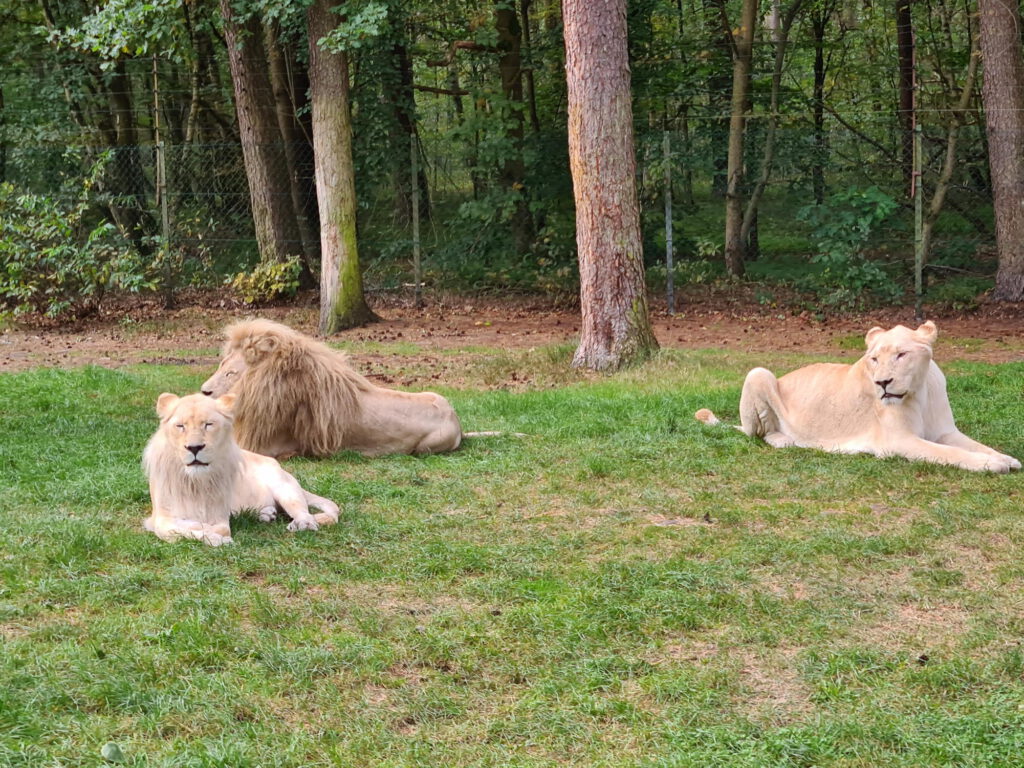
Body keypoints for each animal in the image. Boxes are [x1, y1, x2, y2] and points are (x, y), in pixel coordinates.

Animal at [142, 392, 340, 546]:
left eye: (208, 424)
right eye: (180, 426)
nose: (194, 447)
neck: (195, 481)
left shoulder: (220, 515)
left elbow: (218, 529)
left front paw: (217, 538)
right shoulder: (161, 517)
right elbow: (179, 529)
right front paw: (207, 533)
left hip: (284, 487)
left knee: (305, 512)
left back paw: (302, 524)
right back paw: (267, 514)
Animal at [200, 319, 465, 458]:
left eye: (231, 373)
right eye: (221, 365)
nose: (203, 392)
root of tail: (457, 421)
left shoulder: (267, 446)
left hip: (426, 447)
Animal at [695, 321, 1020, 473]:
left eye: (901, 354)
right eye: (874, 359)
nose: (882, 383)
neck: (920, 391)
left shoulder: (945, 431)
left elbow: (975, 446)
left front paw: (1006, 458)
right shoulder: (898, 441)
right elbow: (952, 454)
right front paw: (992, 465)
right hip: (758, 372)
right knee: (758, 434)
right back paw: (784, 440)